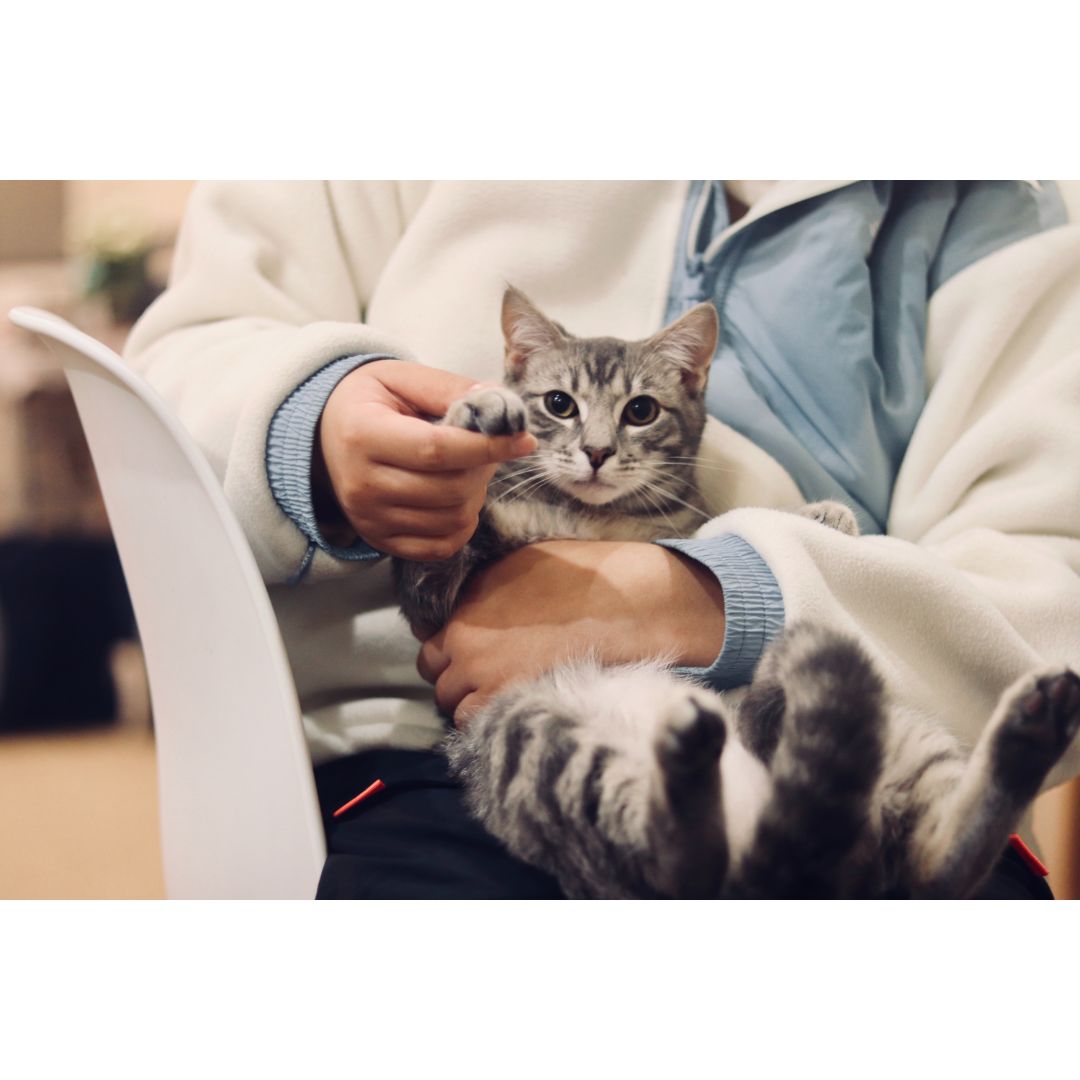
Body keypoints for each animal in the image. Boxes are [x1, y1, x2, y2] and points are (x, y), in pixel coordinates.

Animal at [397, 289, 1080, 902]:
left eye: (641, 411)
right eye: (559, 403)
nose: (596, 450)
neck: (593, 517)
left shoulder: (674, 524)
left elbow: (710, 527)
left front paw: (824, 516)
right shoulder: (432, 601)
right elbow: (439, 549)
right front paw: (472, 419)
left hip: (899, 736)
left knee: (926, 869)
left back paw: (1028, 731)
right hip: (533, 739)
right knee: (689, 873)